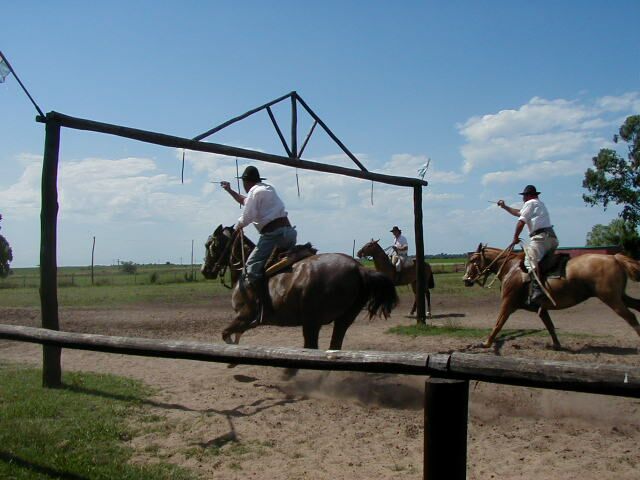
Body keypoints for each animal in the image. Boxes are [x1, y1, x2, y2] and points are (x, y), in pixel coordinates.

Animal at [202, 225, 398, 352]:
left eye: (209, 245)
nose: (205, 270)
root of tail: (359, 269)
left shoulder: (244, 317)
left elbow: (227, 335)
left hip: (312, 323)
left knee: (311, 348)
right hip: (342, 320)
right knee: (334, 346)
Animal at [462, 244, 640, 348]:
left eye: (473, 259)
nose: (466, 280)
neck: (511, 269)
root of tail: (614, 257)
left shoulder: (508, 303)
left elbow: (498, 324)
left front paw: (486, 342)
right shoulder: (541, 308)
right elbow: (549, 325)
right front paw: (556, 345)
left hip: (611, 298)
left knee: (630, 317)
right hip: (621, 296)